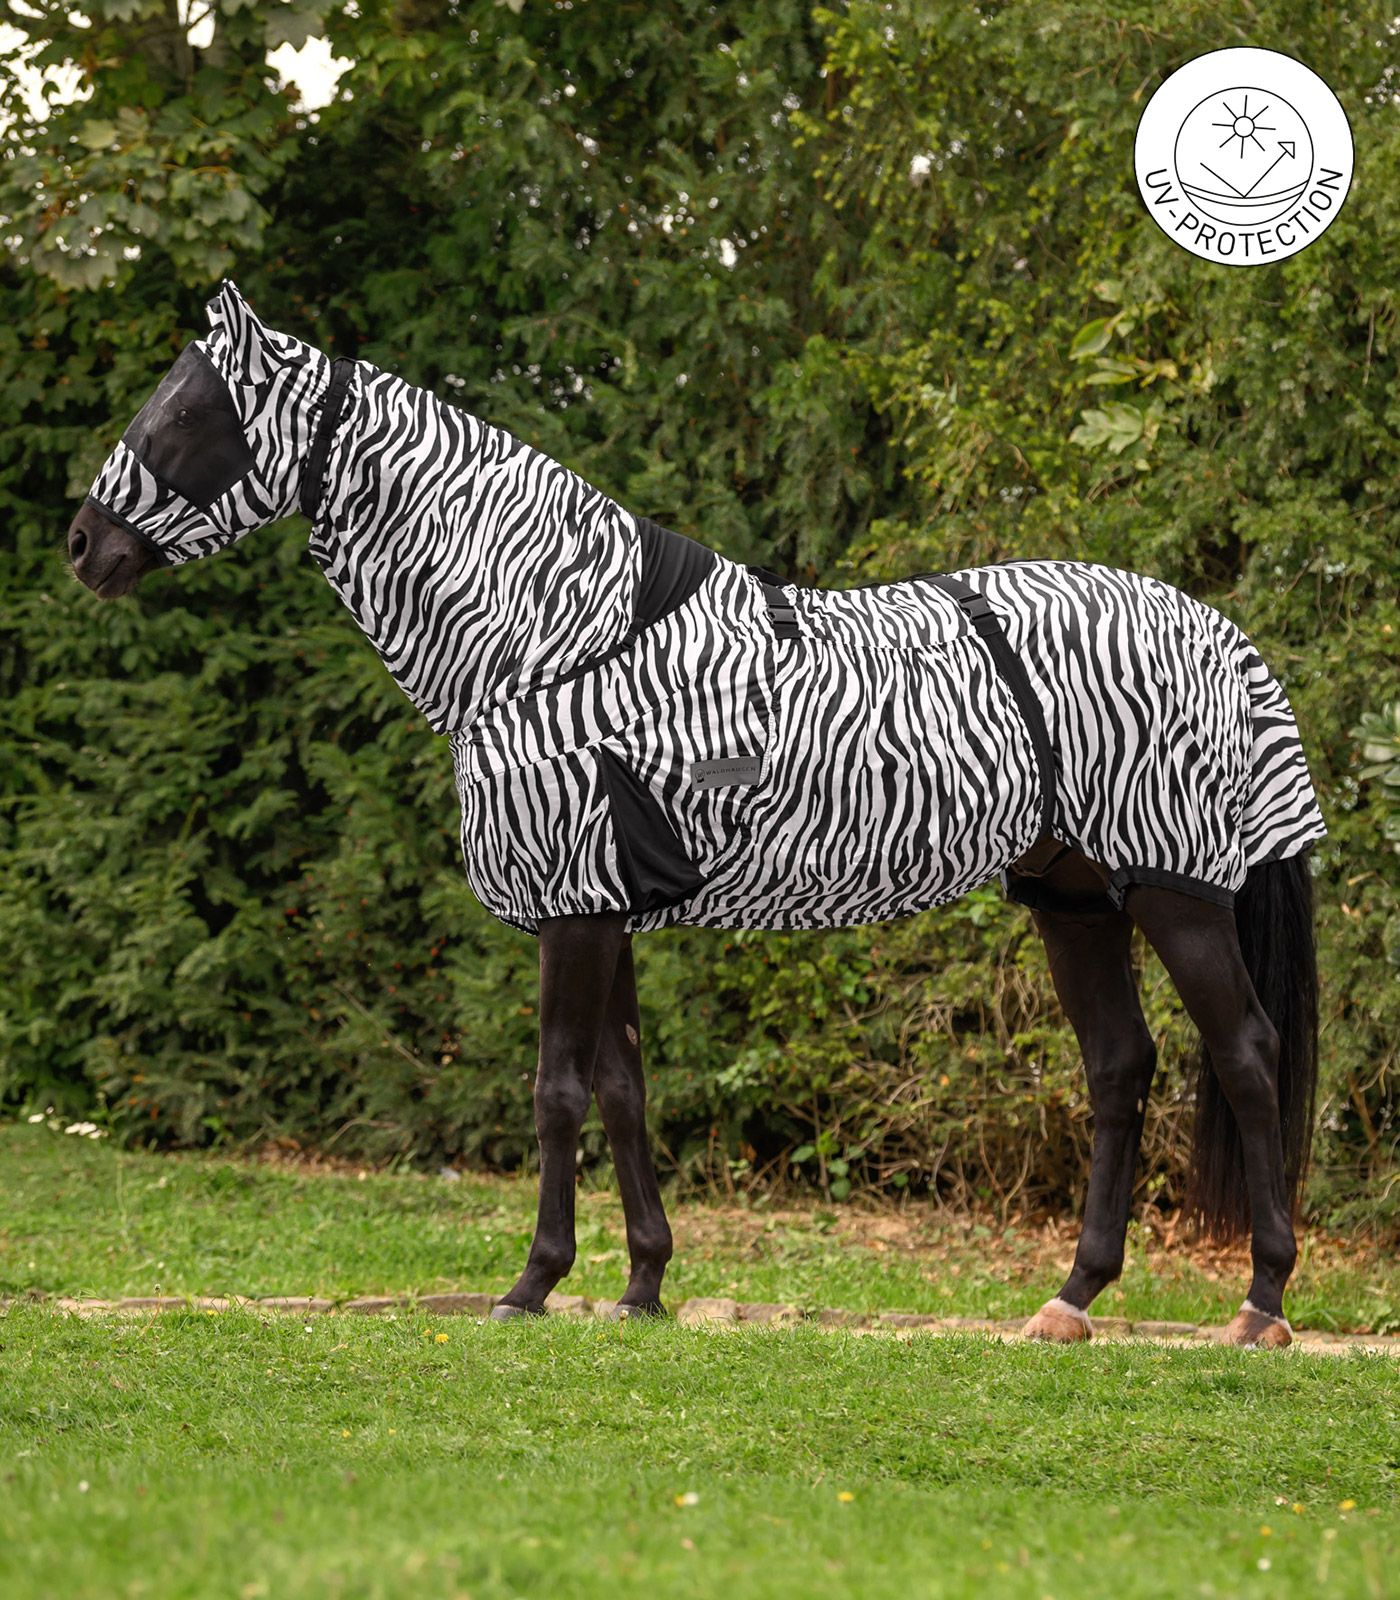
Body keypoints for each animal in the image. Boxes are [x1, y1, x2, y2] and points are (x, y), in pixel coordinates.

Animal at [68, 281, 1326, 1346]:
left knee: (1246, 1055)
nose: (84, 546)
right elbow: (622, 1094)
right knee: (1118, 1067)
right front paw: (640, 1284)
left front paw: (532, 1283)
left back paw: (1260, 1302)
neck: (550, 642)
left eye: (186, 411)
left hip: (1173, 892)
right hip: (1071, 898)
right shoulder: (603, 907)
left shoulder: (573, 907)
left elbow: (555, 1092)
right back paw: (1070, 1299)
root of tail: (1211, 627)